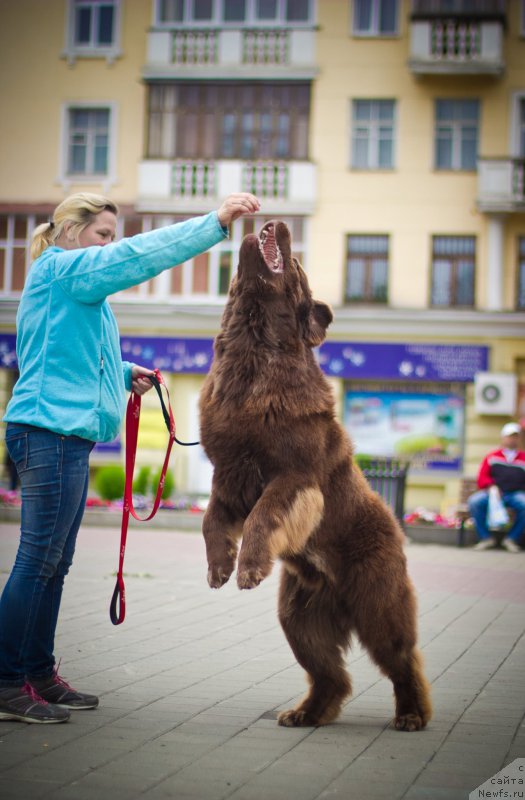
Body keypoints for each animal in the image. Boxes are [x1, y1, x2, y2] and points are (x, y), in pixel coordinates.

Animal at [199, 219, 432, 732]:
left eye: (297, 263)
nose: (275, 222)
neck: (252, 356)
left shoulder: (294, 475)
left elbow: (265, 515)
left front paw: (248, 569)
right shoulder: (227, 475)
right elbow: (210, 520)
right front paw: (219, 568)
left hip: (378, 603)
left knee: (403, 659)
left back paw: (411, 714)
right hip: (299, 617)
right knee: (332, 674)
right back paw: (305, 713)